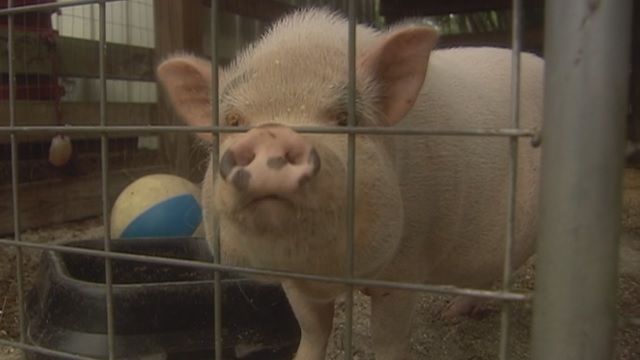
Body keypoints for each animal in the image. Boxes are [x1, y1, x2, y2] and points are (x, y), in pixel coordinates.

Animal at [158, 8, 544, 360]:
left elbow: (388, 339)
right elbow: (313, 329)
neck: (331, 276)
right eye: (234, 121)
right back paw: (452, 315)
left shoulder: (406, 264)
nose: (272, 133)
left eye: (344, 118)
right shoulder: (294, 283)